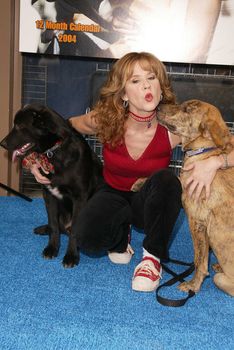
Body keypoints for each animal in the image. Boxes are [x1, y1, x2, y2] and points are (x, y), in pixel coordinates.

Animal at [0, 104, 102, 268]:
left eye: (19, 126)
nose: (2, 144)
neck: (54, 152)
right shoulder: (48, 194)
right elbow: (53, 224)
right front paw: (52, 248)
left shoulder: (80, 198)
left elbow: (75, 230)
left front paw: (71, 256)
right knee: (57, 227)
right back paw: (44, 229)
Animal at [157, 100, 234, 296]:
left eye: (187, 110)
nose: (158, 105)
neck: (203, 151)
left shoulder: (197, 222)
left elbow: (199, 260)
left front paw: (193, 285)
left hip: (220, 280)